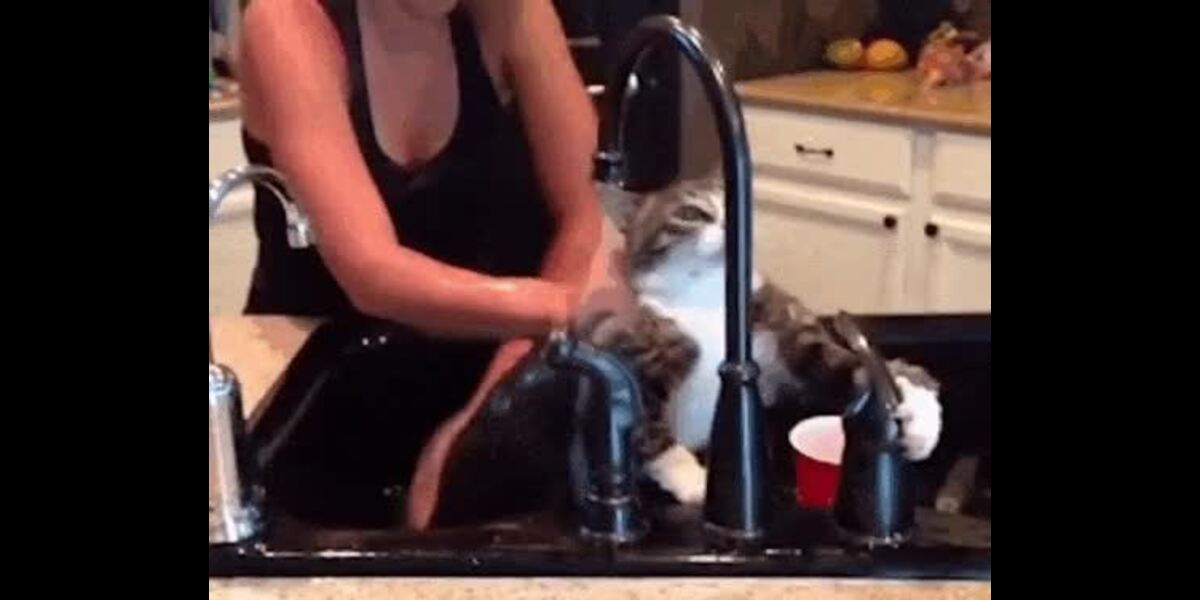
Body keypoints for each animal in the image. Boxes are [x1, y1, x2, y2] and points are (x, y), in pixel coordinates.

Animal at [578, 171, 943, 505]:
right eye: (690, 213)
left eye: (736, 201)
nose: (733, 223)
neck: (711, 296)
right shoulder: (631, 348)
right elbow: (643, 418)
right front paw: (690, 477)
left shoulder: (779, 326)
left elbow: (842, 363)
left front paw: (917, 409)